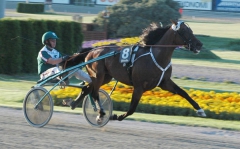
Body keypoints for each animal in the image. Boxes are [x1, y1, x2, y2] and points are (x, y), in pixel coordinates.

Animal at [66, 20, 206, 121]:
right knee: (94, 92)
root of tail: (92, 50)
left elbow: (183, 92)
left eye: (191, 30)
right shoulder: (139, 86)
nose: (199, 45)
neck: (156, 57)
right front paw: (116, 116)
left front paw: (200, 110)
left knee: (87, 88)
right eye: (184, 31)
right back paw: (101, 113)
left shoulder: (165, 82)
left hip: (105, 77)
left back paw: (73, 103)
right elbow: (132, 108)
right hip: (98, 75)